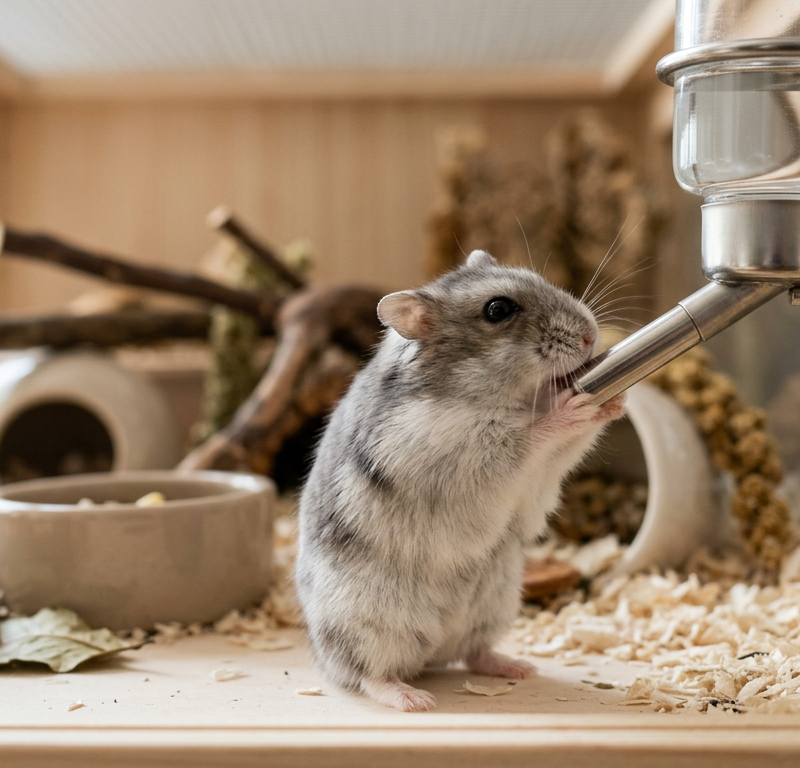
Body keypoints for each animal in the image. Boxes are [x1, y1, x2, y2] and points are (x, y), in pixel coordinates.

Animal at [295, 250, 625, 712]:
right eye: (498, 310)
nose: (591, 337)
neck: (487, 395)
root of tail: (430, 655)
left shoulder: (542, 478)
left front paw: (616, 399)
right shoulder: (465, 455)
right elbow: (530, 437)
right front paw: (570, 406)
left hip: (495, 603)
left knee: (473, 652)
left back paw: (519, 668)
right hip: (369, 624)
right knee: (368, 674)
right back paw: (414, 699)